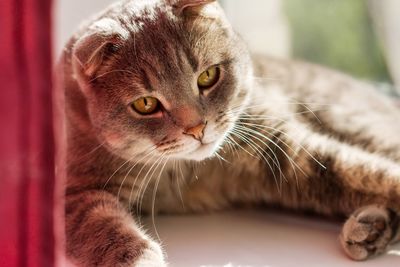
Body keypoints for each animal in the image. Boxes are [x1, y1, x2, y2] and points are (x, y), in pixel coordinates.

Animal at [59, 0, 400, 266]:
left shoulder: (277, 144)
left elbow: (366, 174)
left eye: (208, 76)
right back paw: (372, 228)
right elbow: (102, 226)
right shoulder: (71, 194)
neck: (185, 169)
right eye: (146, 104)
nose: (196, 128)